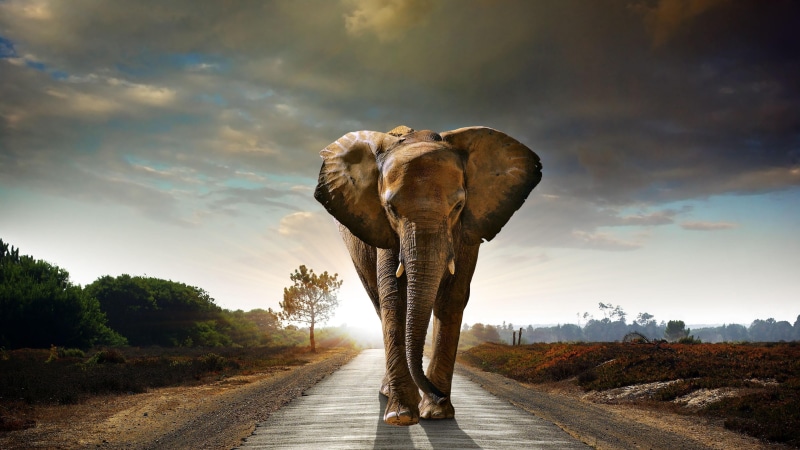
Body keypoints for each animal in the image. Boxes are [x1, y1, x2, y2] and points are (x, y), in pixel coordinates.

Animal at [314, 125, 542, 425]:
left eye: (458, 206)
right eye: (391, 209)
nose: (438, 395)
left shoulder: (468, 230)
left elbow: (452, 297)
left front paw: (436, 413)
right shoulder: (385, 230)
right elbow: (394, 298)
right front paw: (401, 416)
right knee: (378, 302)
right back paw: (389, 394)